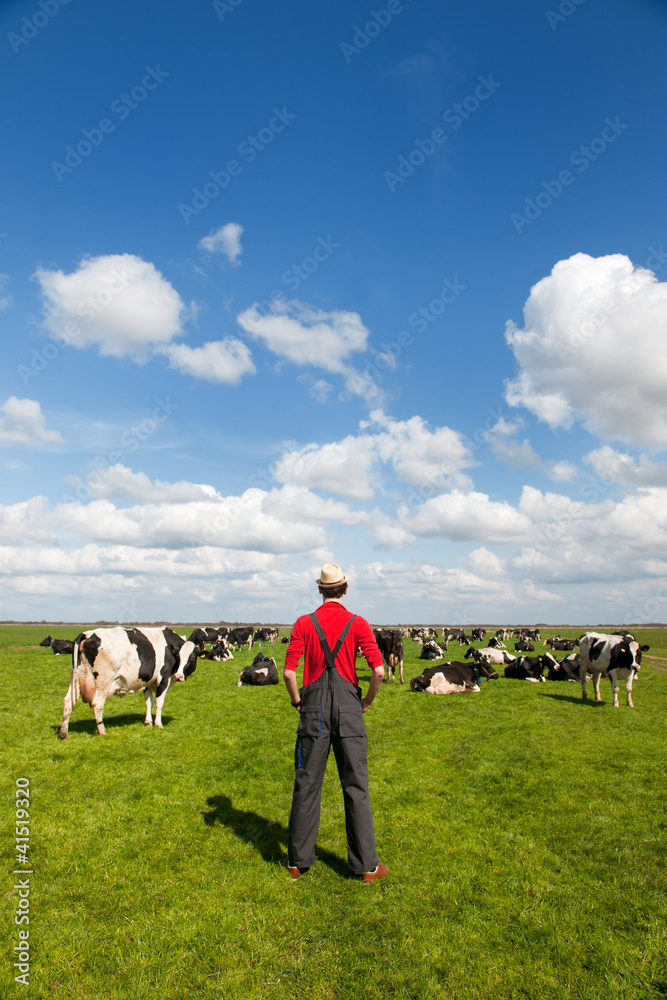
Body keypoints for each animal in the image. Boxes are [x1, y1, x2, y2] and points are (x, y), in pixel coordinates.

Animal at [57, 628, 200, 740]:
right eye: (179, 657)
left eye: (192, 657)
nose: (179, 676)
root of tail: (87, 634)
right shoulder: (163, 679)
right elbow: (159, 703)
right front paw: (158, 724)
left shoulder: (147, 681)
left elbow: (149, 702)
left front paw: (148, 722)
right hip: (103, 682)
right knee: (97, 704)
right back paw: (102, 731)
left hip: (76, 678)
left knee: (67, 702)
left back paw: (63, 734)